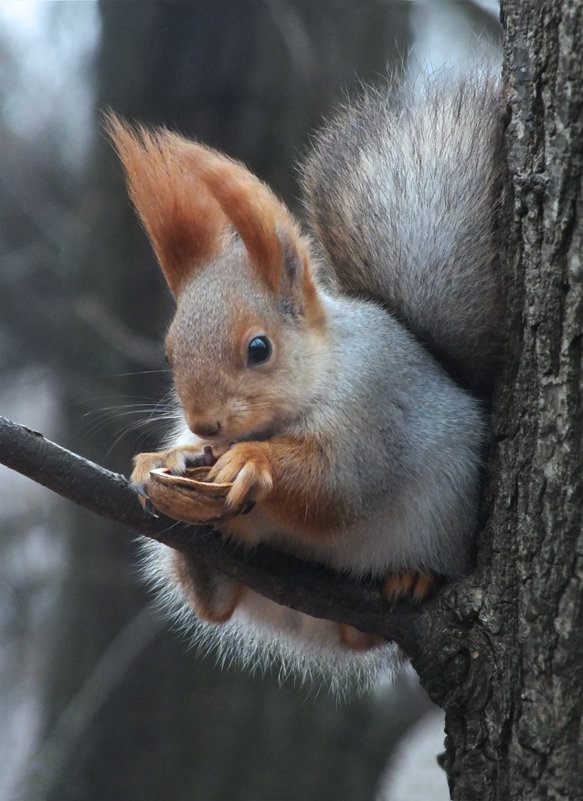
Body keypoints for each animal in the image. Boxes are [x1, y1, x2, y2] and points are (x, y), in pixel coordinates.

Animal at [107, 70, 504, 688]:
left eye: (259, 348)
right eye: (170, 355)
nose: (205, 424)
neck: (323, 370)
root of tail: (305, 624)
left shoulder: (373, 413)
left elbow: (335, 486)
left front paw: (252, 461)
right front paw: (166, 458)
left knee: (363, 633)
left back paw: (411, 577)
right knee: (216, 605)